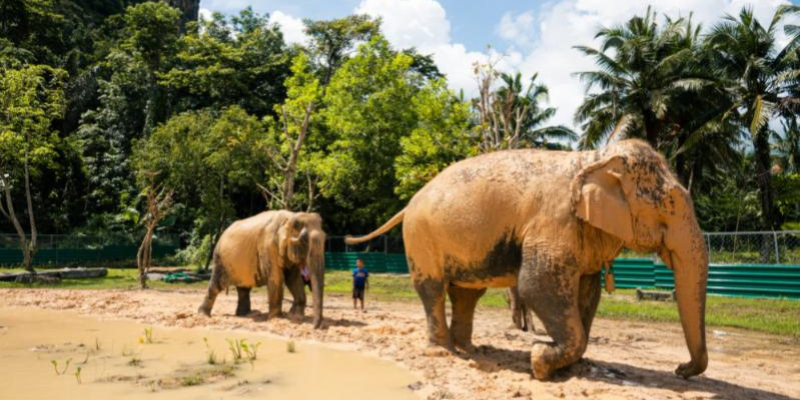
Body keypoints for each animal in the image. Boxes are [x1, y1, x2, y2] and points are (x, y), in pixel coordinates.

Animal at [198, 210, 326, 329]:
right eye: (304, 242)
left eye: (325, 240)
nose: (315, 327)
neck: (290, 217)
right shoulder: (268, 247)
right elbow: (276, 278)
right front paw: (276, 319)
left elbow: (293, 279)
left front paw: (295, 316)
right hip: (220, 260)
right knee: (216, 286)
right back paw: (204, 315)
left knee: (243, 289)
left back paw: (246, 314)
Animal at [346, 139, 708, 380]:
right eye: (671, 203)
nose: (680, 369)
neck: (593, 159)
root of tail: (408, 204)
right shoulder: (554, 220)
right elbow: (536, 287)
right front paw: (539, 360)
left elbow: (587, 293)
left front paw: (570, 366)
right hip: (420, 237)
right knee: (432, 288)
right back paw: (443, 351)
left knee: (466, 294)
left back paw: (470, 350)